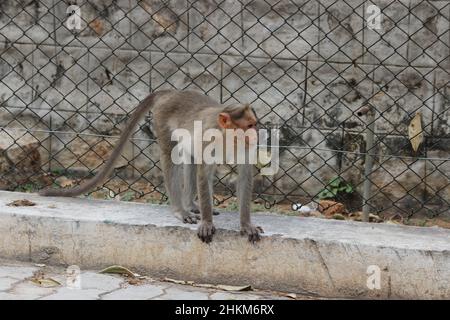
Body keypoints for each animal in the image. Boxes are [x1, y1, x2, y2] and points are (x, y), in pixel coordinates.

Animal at [40, 90, 264, 242]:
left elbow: (244, 177)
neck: (227, 138)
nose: (257, 135)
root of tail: (172, 92)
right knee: (171, 156)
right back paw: (181, 210)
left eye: (254, 124)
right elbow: (204, 173)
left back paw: (191, 205)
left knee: (189, 158)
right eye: (249, 126)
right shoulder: (208, 139)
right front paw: (207, 222)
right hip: (162, 119)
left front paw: (246, 224)